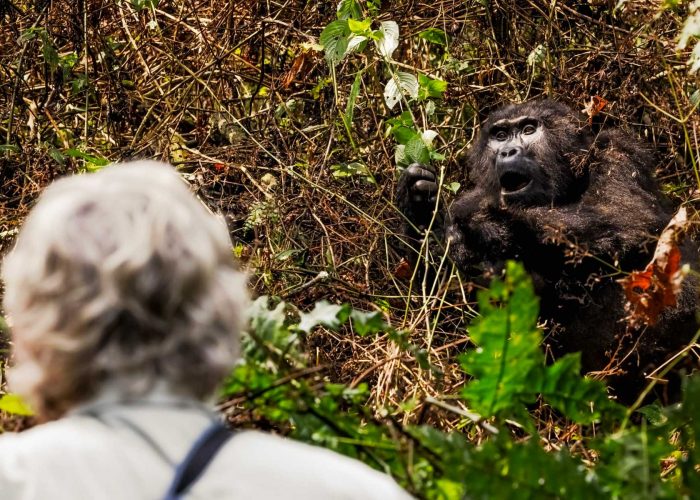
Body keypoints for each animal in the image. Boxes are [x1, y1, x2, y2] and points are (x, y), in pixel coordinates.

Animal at [396, 99, 696, 404]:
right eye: (500, 135)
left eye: (529, 129)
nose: (507, 151)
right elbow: (441, 303)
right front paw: (418, 202)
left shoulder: (618, 153)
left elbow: (627, 220)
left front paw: (485, 217)